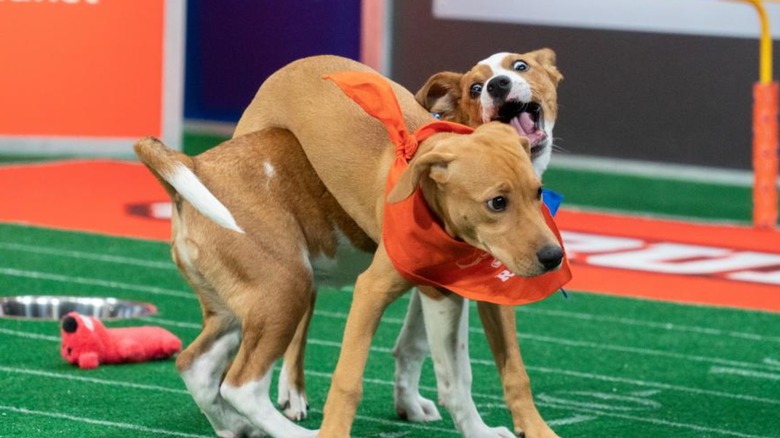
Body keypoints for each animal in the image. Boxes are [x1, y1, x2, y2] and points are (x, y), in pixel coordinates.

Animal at [139, 53, 560, 436]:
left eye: (521, 66)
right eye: (496, 203)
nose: (554, 256)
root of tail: (195, 166)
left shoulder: (450, 293)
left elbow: (454, 369)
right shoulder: (391, 288)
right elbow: (364, 378)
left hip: (237, 308)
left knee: (196, 365)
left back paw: (236, 427)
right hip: (286, 288)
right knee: (243, 383)